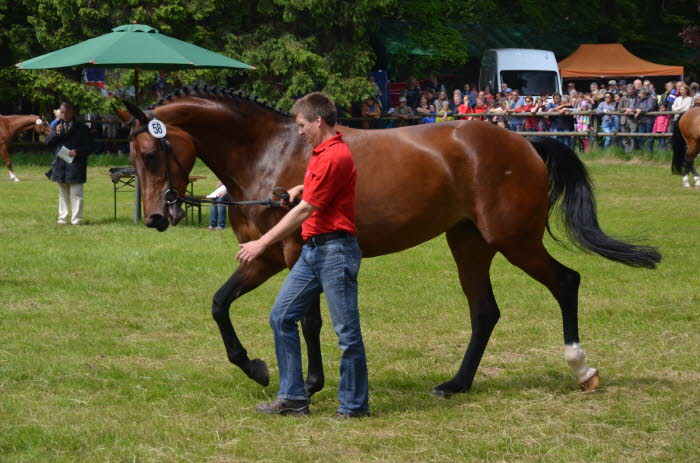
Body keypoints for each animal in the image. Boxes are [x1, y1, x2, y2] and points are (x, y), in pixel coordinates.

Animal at [115, 88, 660, 402]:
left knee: (565, 282)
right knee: (485, 312)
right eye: (133, 156)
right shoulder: (265, 257)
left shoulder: (293, 254)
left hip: (514, 241)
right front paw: (256, 367)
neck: (271, 152)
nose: (158, 216)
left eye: (150, 152)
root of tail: (523, 142)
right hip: (470, 245)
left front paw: (308, 385)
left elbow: (307, 320)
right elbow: (220, 303)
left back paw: (582, 369)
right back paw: (455, 385)